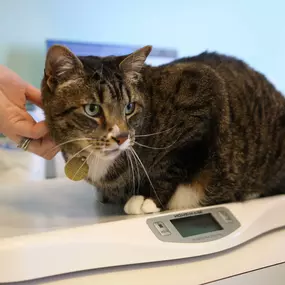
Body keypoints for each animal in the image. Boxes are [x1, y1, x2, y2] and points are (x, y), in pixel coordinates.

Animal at [41, 43, 284, 213]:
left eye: (129, 107)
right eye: (92, 109)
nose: (121, 137)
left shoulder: (204, 95)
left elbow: (174, 162)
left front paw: (148, 198)